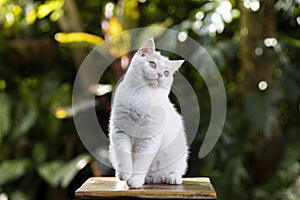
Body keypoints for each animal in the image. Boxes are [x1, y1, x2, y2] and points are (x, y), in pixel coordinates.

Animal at [108, 38, 188, 189]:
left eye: (167, 73)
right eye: (152, 64)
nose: (160, 75)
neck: (142, 94)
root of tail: (155, 178)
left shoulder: (150, 139)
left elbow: (141, 162)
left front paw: (135, 180)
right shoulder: (120, 132)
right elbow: (123, 154)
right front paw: (125, 174)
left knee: (175, 171)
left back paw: (172, 177)